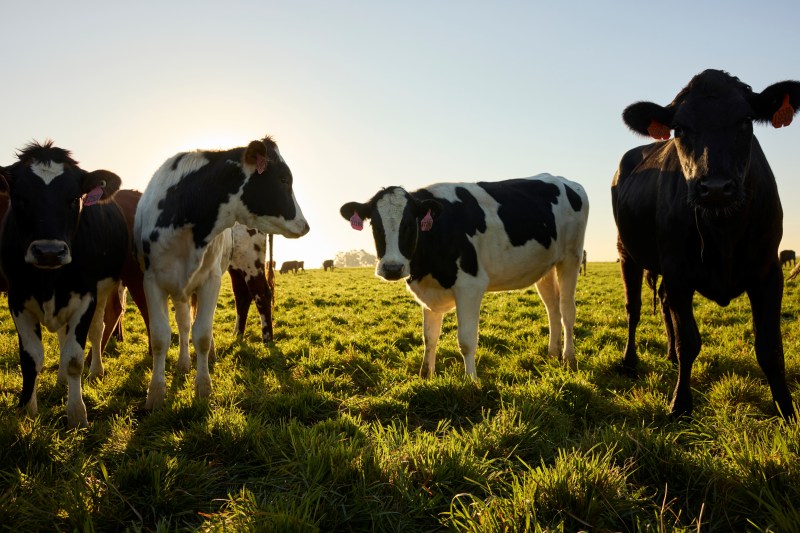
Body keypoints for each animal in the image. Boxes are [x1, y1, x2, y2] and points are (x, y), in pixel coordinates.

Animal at [0, 141, 130, 427]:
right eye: (19, 198)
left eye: (74, 199)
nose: (49, 252)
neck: (49, 280)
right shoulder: (17, 298)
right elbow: (31, 358)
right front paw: (27, 410)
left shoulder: (86, 298)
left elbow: (74, 358)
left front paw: (77, 414)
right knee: (62, 335)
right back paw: (60, 379)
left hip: (104, 290)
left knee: (98, 329)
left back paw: (96, 371)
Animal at [134, 136, 309, 409]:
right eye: (283, 179)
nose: (305, 225)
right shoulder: (153, 281)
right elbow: (164, 335)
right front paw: (156, 393)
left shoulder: (210, 280)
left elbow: (202, 334)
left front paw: (203, 388)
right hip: (233, 269)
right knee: (238, 298)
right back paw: (232, 338)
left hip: (249, 261)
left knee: (260, 294)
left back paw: (266, 339)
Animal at [340, 173, 589, 377]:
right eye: (375, 225)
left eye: (410, 224)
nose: (392, 268)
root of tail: (564, 180)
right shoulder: (429, 290)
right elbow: (429, 337)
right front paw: (426, 375)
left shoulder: (470, 286)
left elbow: (466, 341)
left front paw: (471, 381)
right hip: (546, 267)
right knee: (552, 308)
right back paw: (552, 353)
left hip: (571, 257)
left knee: (567, 309)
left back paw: (568, 357)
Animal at [612, 69, 799, 419]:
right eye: (680, 128)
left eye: (746, 120)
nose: (715, 187)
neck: (723, 231)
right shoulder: (678, 272)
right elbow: (689, 341)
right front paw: (680, 403)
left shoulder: (768, 270)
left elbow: (770, 347)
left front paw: (786, 409)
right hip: (626, 251)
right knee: (635, 308)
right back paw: (630, 362)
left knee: (663, 303)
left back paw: (669, 356)